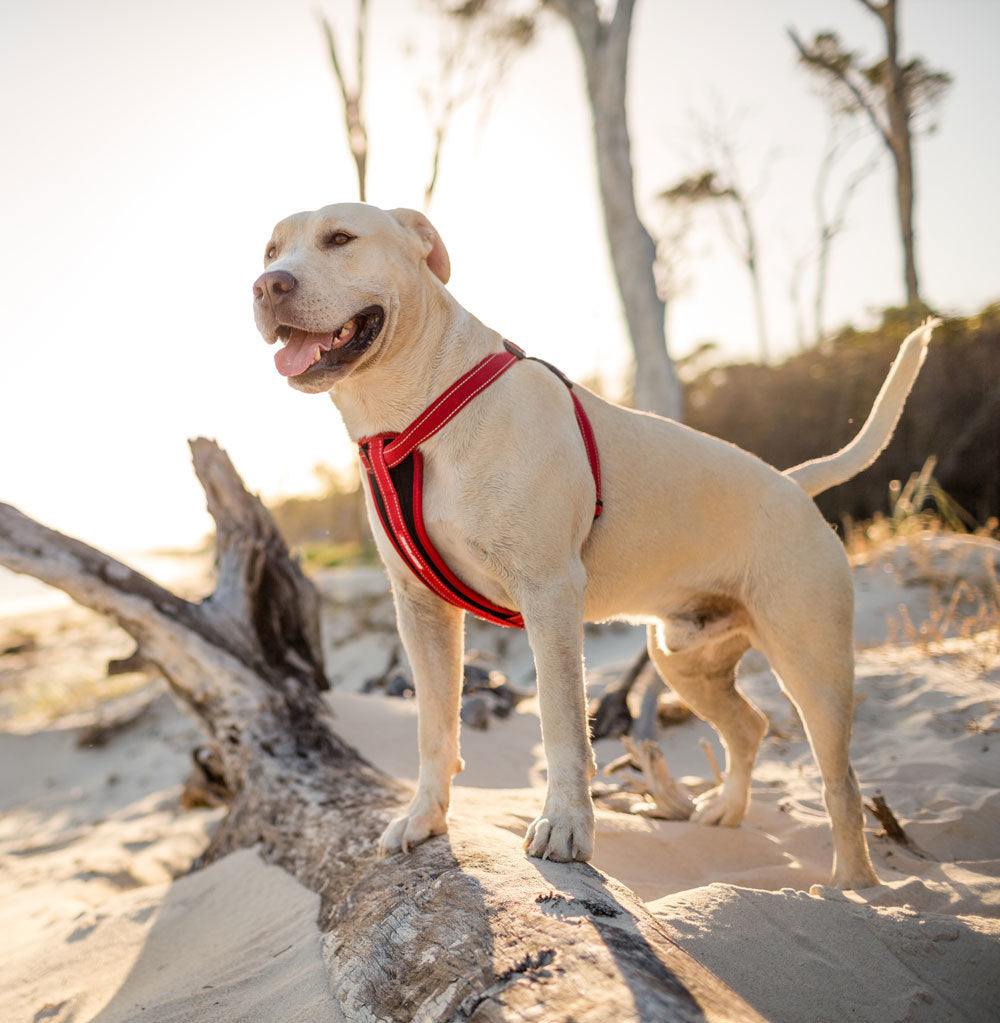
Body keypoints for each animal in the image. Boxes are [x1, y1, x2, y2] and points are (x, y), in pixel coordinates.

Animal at [251, 199, 936, 887]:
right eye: (271, 250)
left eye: (341, 238)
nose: (267, 286)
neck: (417, 413)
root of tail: (796, 484)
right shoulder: (421, 609)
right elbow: (434, 727)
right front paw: (424, 819)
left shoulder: (549, 594)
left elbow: (560, 722)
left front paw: (566, 826)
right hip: (684, 659)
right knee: (749, 726)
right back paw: (727, 810)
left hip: (812, 666)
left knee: (840, 780)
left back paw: (854, 885)